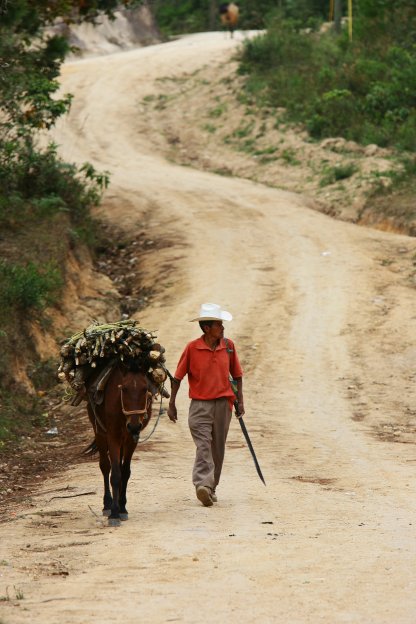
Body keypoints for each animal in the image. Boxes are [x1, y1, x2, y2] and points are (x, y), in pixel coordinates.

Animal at [85, 360, 154, 528]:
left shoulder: (131, 440)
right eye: (124, 389)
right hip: (99, 431)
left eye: (145, 389)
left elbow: (125, 472)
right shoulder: (113, 437)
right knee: (105, 466)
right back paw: (107, 504)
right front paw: (114, 513)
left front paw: (122, 508)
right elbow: (115, 474)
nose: (134, 426)